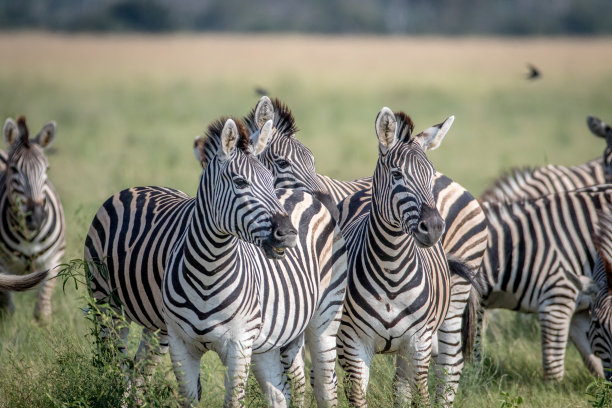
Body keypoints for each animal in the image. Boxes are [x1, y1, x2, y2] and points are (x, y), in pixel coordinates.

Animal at [0, 116, 65, 318]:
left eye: (47, 169)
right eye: (14, 169)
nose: (36, 218)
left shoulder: (54, 259)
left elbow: (42, 311)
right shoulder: (2, 265)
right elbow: (7, 308)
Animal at [85, 116, 350, 406]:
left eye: (270, 180)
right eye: (240, 182)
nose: (289, 233)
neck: (209, 269)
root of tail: (138, 187)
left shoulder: (239, 345)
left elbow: (234, 399)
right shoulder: (180, 344)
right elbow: (188, 398)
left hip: (324, 316)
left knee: (324, 385)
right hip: (106, 305)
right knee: (121, 363)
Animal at [334, 107, 454, 406]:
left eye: (431, 176)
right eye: (397, 174)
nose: (434, 227)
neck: (392, 268)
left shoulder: (419, 343)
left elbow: (421, 395)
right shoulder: (353, 343)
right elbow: (356, 396)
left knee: (402, 387)